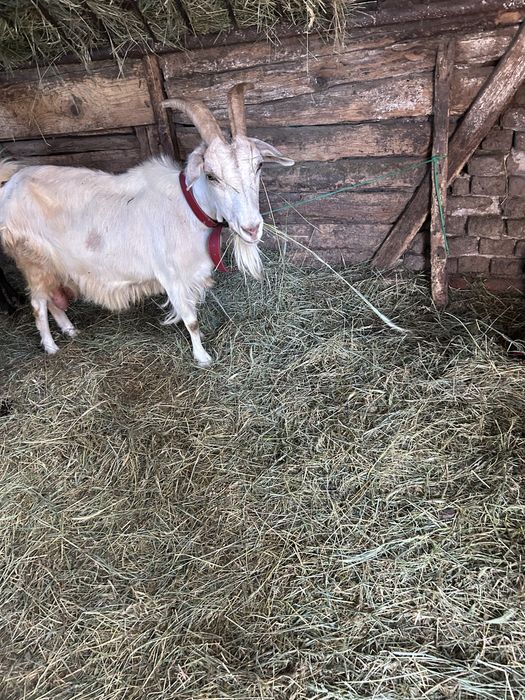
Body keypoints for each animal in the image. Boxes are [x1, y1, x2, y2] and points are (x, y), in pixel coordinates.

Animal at [0, 83, 294, 365]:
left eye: (259, 166)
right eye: (211, 175)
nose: (251, 228)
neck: (187, 207)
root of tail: (10, 187)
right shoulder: (172, 276)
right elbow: (191, 321)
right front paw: (203, 358)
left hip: (53, 263)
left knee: (51, 298)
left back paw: (70, 330)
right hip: (31, 261)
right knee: (38, 303)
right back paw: (51, 346)